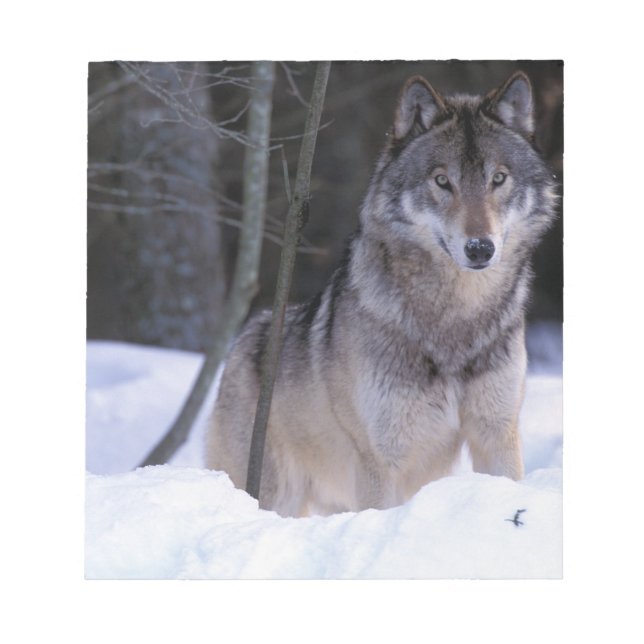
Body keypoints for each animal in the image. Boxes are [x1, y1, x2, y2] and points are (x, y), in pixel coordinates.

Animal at [205, 71, 558, 517]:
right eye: (442, 181)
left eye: (498, 178)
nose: (480, 248)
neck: (456, 320)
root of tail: (244, 339)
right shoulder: (381, 459)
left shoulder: (497, 434)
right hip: (276, 494)